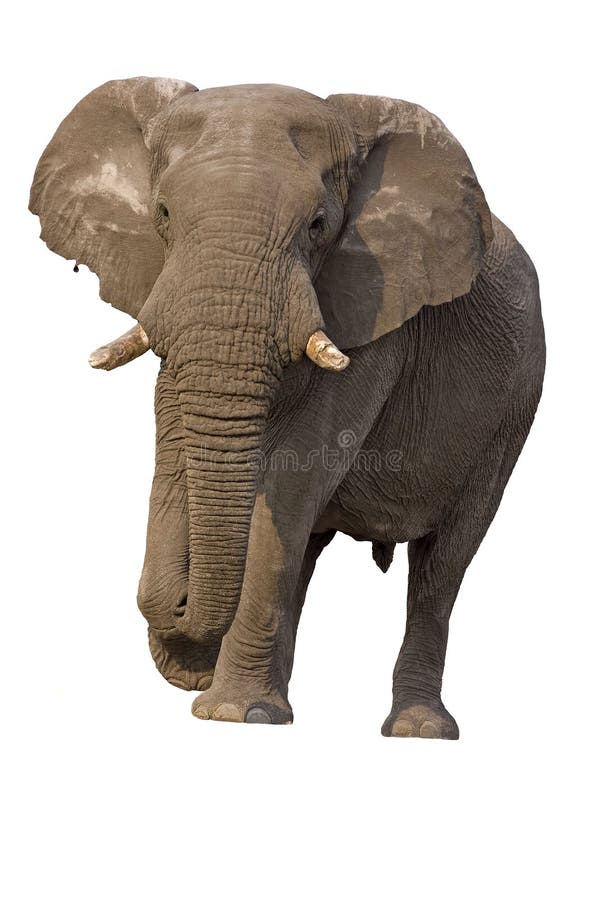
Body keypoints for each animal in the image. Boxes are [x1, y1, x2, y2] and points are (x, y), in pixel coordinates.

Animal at [29, 77, 544, 740]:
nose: (189, 646)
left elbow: (294, 479)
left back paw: (415, 729)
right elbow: (178, 452)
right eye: (163, 214)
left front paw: (229, 713)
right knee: (311, 551)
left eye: (319, 224)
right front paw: (213, 680)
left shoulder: (378, 311)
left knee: (442, 564)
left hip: (511, 415)